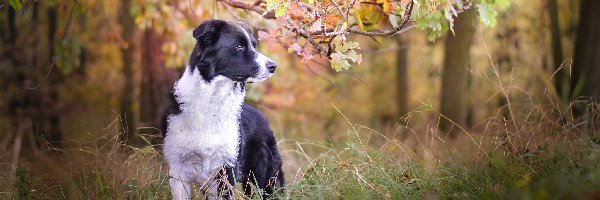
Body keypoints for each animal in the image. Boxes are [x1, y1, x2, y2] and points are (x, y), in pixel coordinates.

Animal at [163, 19, 284, 199]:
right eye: (239, 47)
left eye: (254, 45)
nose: (273, 66)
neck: (213, 101)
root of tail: (264, 120)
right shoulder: (178, 169)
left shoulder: (226, 168)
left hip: (266, 180)